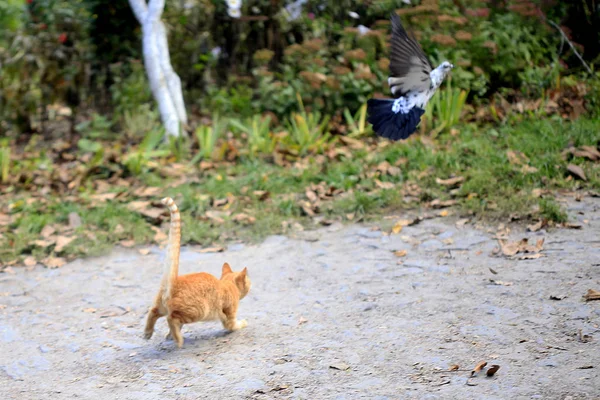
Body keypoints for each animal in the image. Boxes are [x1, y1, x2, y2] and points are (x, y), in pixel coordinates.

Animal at [143, 198, 251, 348]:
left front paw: (169, 335)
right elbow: (233, 325)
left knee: (153, 311)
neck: (228, 285)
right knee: (171, 318)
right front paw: (243, 324)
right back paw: (178, 340)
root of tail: (174, 281)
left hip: (161, 306)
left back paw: (148, 333)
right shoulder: (229, 314)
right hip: (198, 311)